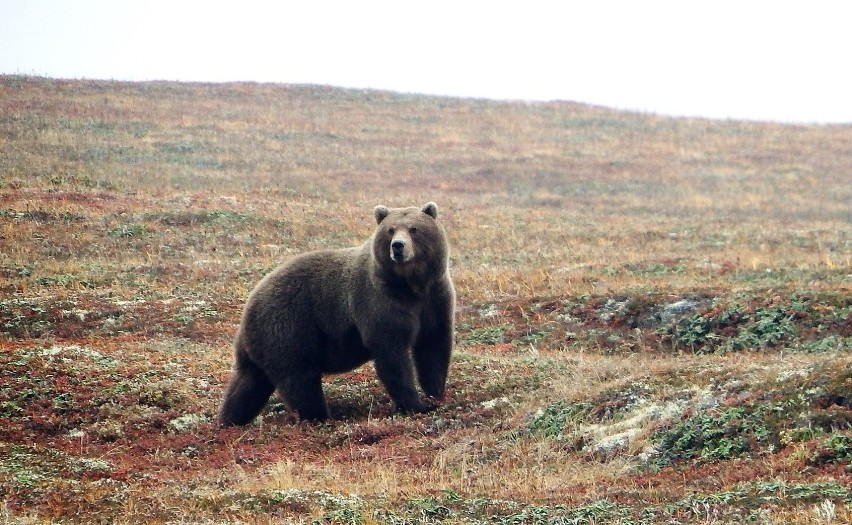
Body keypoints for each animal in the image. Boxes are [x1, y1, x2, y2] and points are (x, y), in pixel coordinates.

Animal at [220, 203, 456, 424]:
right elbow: (392, 353)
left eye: (414, 228)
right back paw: (321, 416)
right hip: (287, 327)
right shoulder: (379, 301)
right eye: (390, 229)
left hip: (260, 343)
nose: (398, 246)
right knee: (300, 379)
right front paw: (415, 405)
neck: (411, 285)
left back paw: (230, 419)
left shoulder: (434, 300)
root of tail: (250, 303)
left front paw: (435, 394)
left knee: (248, 384)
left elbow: (433, 346)